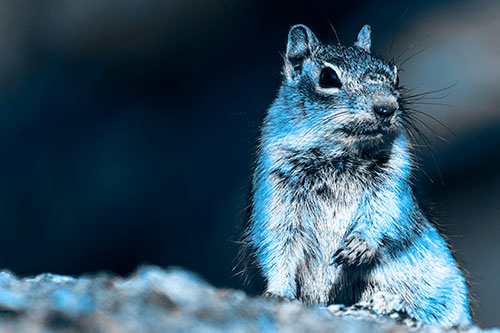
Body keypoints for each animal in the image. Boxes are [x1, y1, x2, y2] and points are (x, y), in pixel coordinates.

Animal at [244, 24, 470, 326]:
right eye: (328, 77)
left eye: (395, 76)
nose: (387, 108)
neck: (338, 156)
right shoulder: (276, 189)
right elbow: (277, 244)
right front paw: (278, 293)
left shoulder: (393, 182)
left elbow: (386, 214)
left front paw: (359, 246)